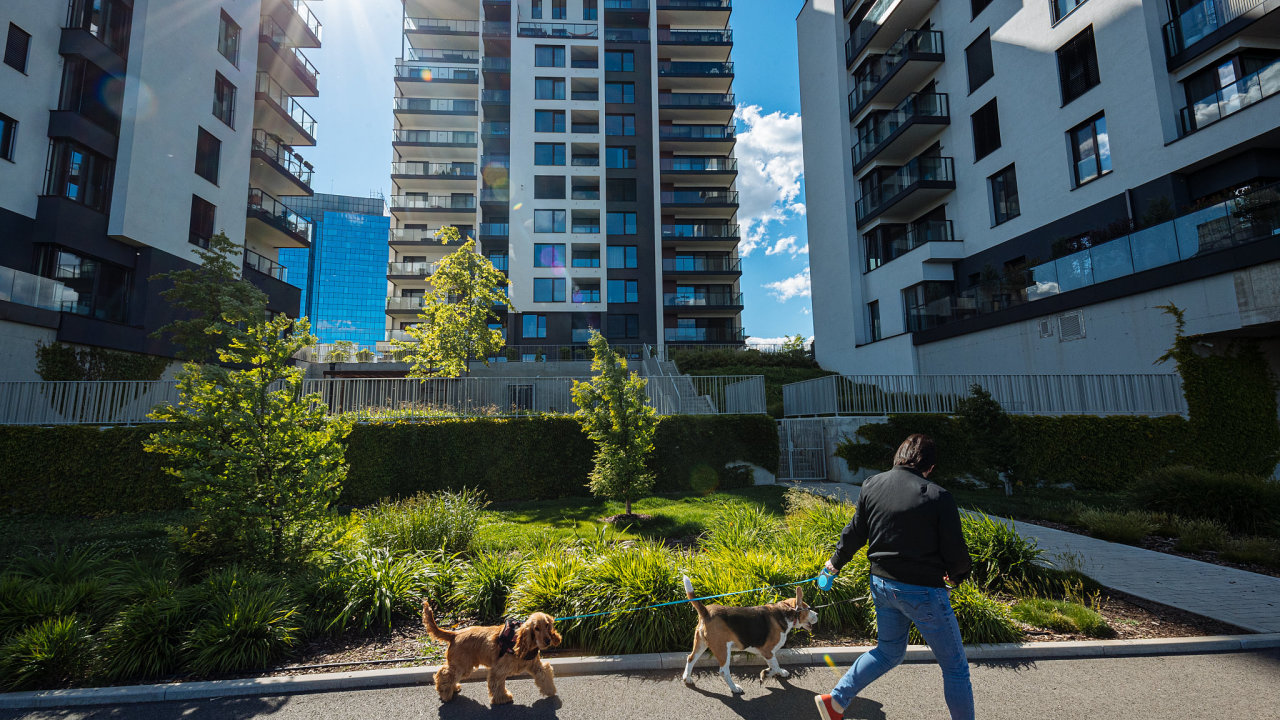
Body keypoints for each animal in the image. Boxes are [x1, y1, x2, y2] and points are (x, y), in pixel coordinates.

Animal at [422, 597, 563, 702]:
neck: (523, 644)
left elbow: (544, 673)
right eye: (536, 628)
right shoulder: (499, 669)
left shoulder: (535, 665)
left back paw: (453, 688)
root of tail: (455, 634)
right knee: (444, 673)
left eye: (547, 625)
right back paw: (445, 693)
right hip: (463, 665)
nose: (548, 640)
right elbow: (497, 685)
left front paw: (550, 691)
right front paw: (503, 698)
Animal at [680, 576, 819, 691]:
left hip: (701, 644)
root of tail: (706, 612)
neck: (786, 611)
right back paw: (734, 688)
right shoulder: (767, 652)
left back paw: (687, 678)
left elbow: (775, 665)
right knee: (723, 671)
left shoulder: (769, 654)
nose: (817, 614)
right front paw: (766, 674)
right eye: (808, 609)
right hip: (723, 650)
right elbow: (774, 666)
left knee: (690, 658)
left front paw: (780, 672)